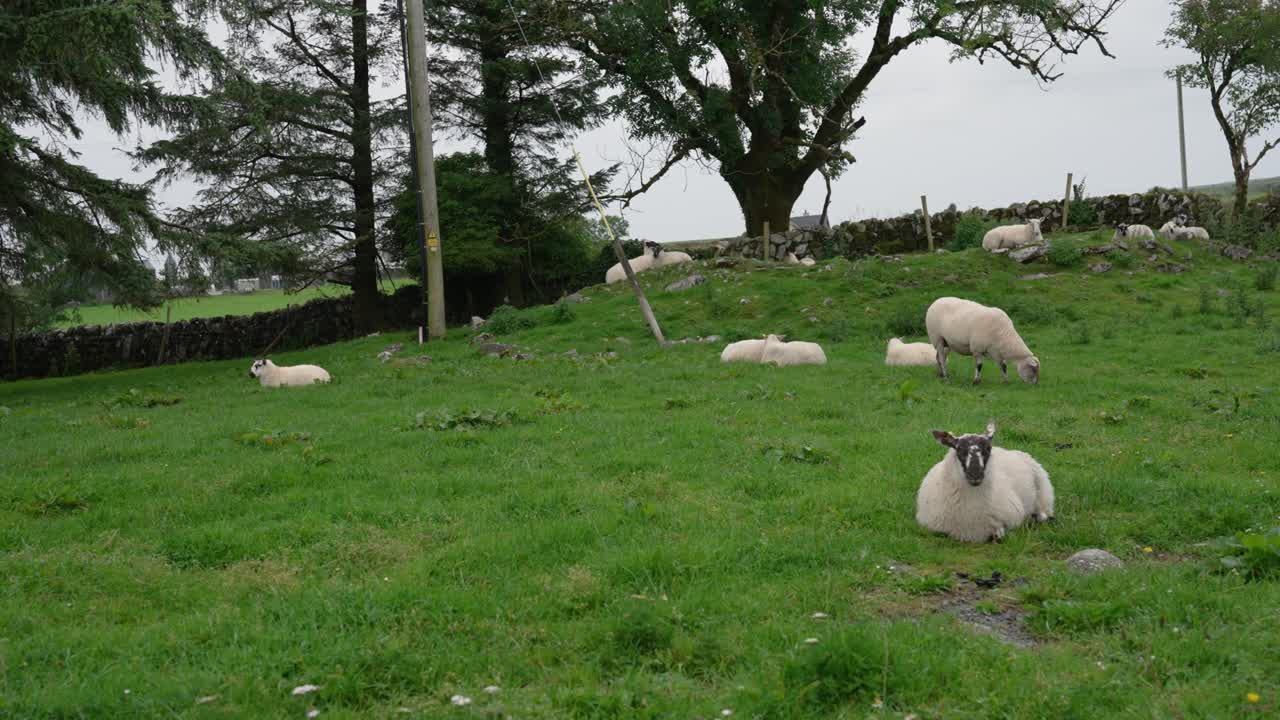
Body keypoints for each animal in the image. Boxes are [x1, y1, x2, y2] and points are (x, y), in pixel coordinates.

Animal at [916, 420, 1056, 543]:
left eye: (988, 448)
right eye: (959, 449)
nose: (975, 475)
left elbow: (998, 535)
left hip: (1043, 493)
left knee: (1045, 514)